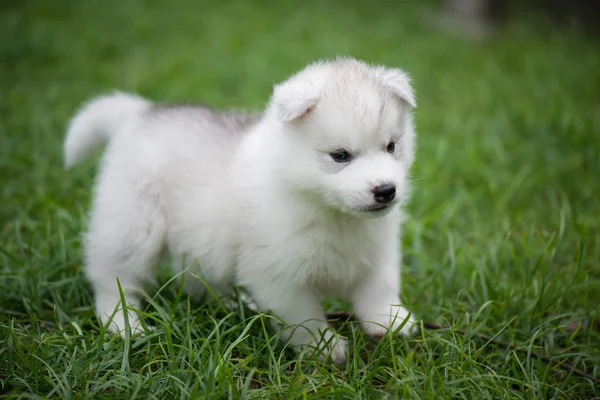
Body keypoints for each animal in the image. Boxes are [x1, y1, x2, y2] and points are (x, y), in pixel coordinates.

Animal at [62, 57, 418, 364]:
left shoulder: (378, 249)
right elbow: (303, 315)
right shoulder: (278, 275)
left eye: (391, 146)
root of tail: (139, 113)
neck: (332, 212)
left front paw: (390, 321)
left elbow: (379, 286)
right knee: (114, 277)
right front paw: (324, 345)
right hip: (133, 225)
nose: (386, 190)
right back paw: (124, 325)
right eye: (340, 155)